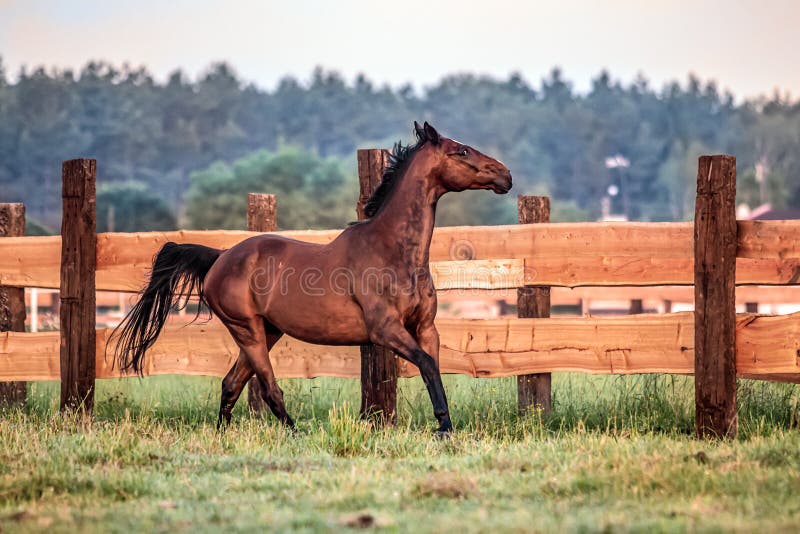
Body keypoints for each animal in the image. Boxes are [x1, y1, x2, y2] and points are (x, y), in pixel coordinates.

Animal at [112, 121, 512, 436]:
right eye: (461, 150)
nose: (505, 175)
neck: (393, 252)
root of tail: (220, 258)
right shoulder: (386, 330)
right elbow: (428, 365)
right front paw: (444, 429)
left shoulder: (426, 328)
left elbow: (434, 369)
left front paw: (445, 425)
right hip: (247, 329)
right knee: (268, 388)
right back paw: (294, 433)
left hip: (267, 331)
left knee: (231, 384)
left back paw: (222, 435)